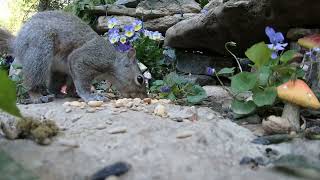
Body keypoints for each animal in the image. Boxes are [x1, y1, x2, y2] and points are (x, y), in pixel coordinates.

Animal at [0, 10, 148, 102]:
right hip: (39, 49)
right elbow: (81, 82)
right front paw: (90, 97)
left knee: (54, 86)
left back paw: (58, 93)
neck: (113, 61)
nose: (144, 96)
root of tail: (17, 42)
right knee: (32, 79)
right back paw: (37, 96)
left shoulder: (73, 71)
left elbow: (72, 86)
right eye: (140, 79)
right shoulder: (87, 58)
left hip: (60, 71)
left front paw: (76, 94)